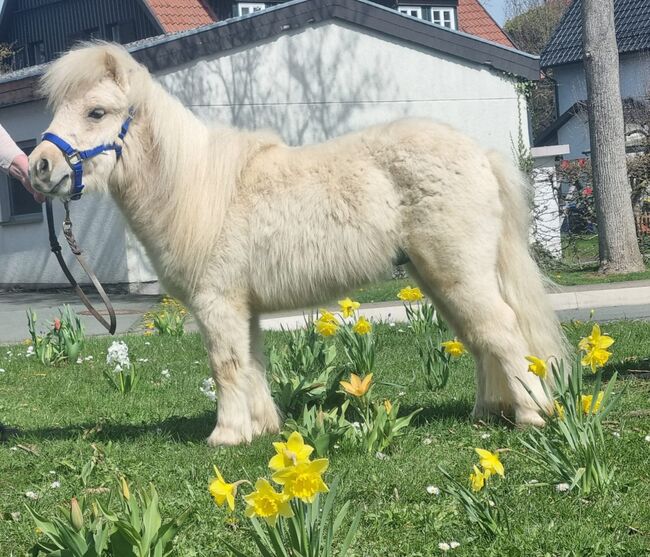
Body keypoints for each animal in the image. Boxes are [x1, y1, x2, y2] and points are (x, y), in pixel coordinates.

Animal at [29, 43, 566, 446]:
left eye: (97, 111)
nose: (38, 167)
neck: (196, 186)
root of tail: (479, 154)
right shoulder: (243, 308)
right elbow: (252, 364)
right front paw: (263, 428)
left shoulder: (217, 303)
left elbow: (226, 366)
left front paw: (226, 436)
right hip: (437, 278)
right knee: (479, 339)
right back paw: (486, 413)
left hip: (458, 273)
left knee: (501, 332)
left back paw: (532, 415)